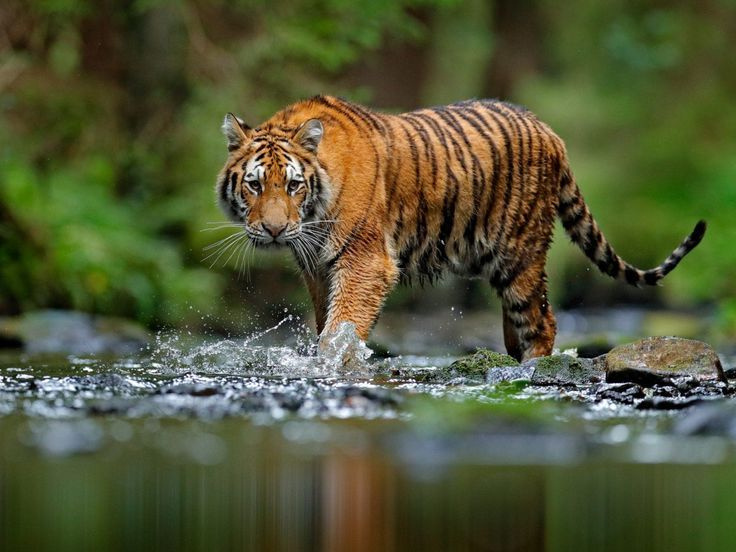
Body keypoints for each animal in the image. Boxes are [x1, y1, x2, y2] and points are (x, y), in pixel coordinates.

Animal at [215, 95, 706, 361]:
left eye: (293, 185)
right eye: (255, 185)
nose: (274, 230)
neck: (313, 215)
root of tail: (549, 131)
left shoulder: (364, 261)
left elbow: (342, 327)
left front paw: (334, 364)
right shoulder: (317, 267)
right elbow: (326, 323)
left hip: (520, 254)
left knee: (542, 321)